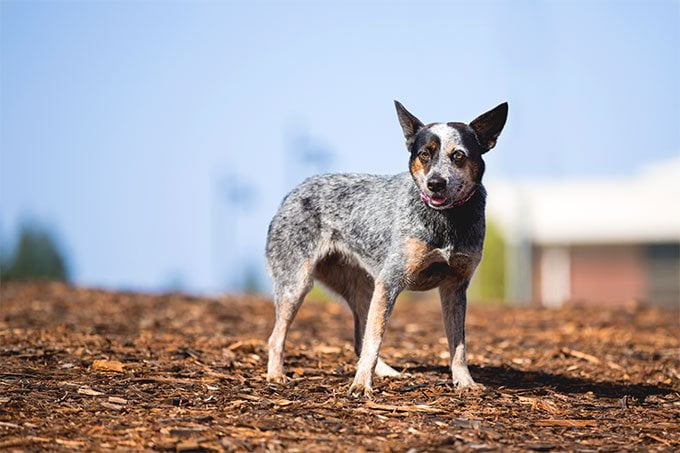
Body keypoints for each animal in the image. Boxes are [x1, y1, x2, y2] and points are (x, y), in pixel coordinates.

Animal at [262, 100, 508, 398]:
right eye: (425, 154)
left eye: (458, 155)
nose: (435, 183)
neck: (447, 220)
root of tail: (293, 193)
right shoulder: (391, 281)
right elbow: (375, 339)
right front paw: (360, 385)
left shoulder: (455, 287)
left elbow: (458, 346)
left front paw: (465, 382)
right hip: (298, 285)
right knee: (277, 337)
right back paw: (276, 375)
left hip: (365, 288)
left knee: (360, 339)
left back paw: (389, 373)